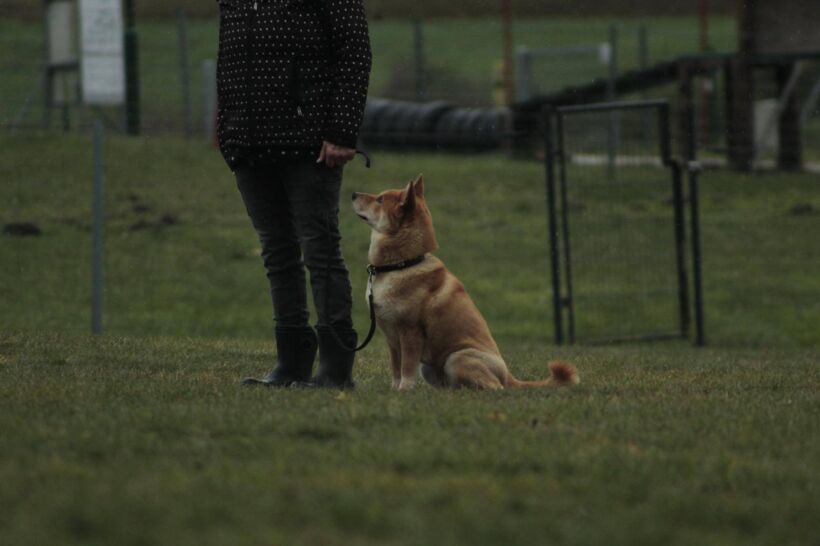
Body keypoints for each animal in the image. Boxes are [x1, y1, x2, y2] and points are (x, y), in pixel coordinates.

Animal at [351, 175, 579, 390]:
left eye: (380, 200)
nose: (353, 193)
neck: (403, 264)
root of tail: (508, 376)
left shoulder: (410, 334)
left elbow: (406, 369)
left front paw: (404, 391)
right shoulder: (392, 341)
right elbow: (395, 369)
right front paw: (394, 389)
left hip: (457, 358)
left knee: (495, 387)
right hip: (430, 367)